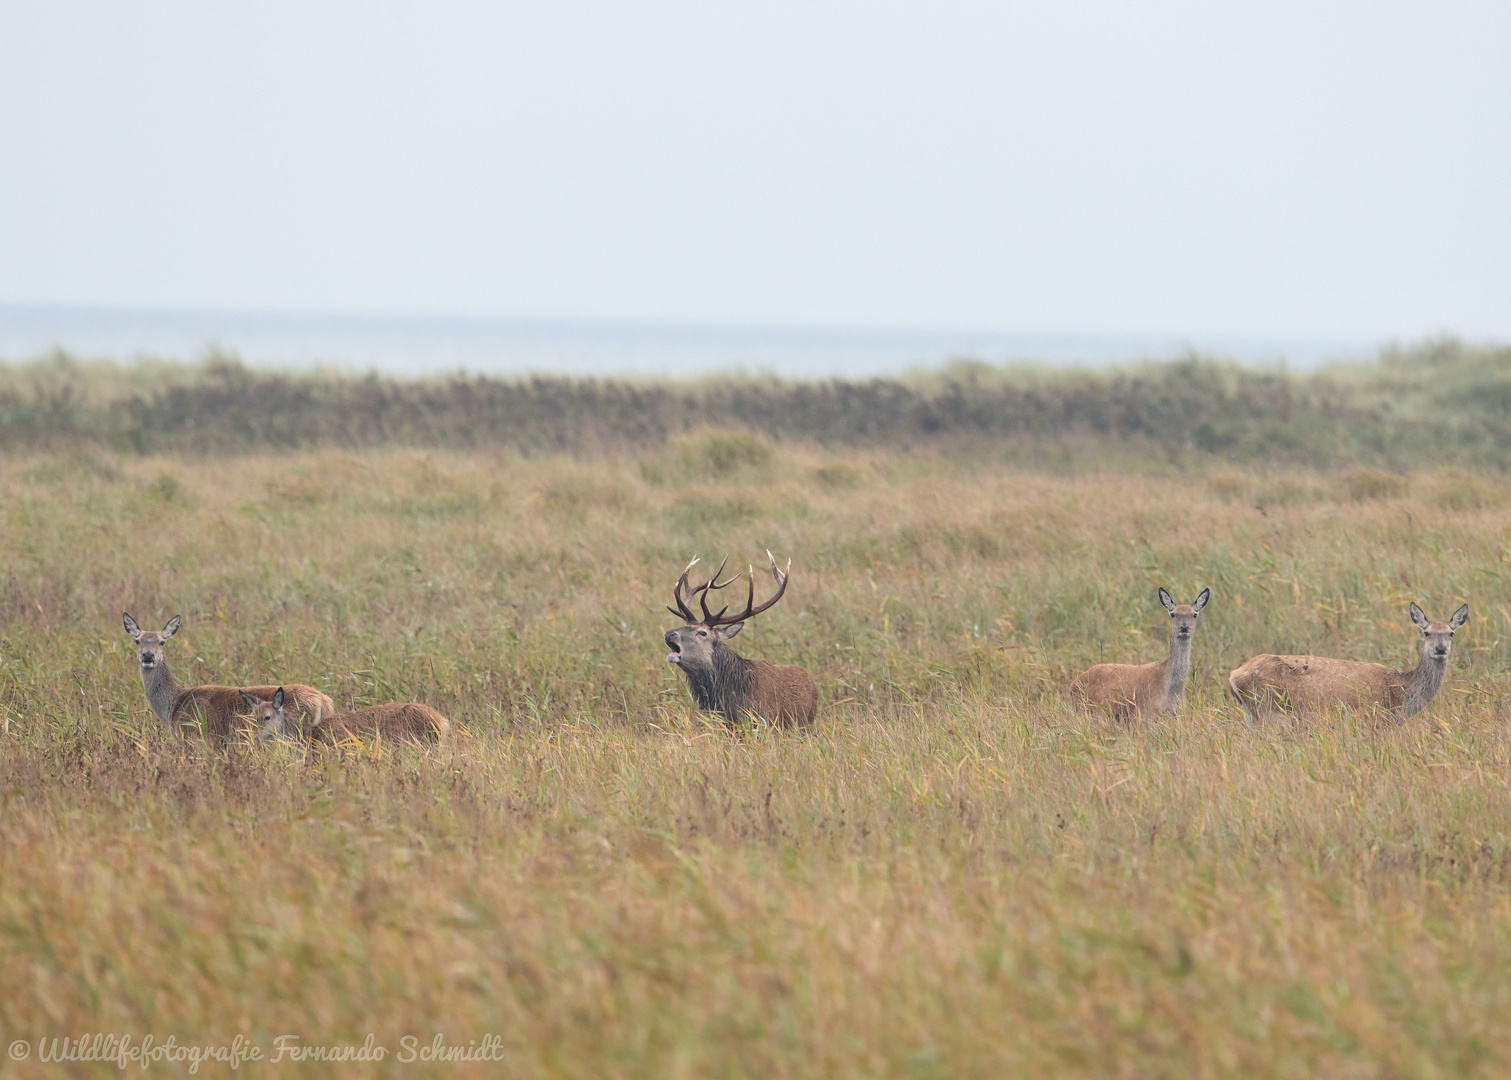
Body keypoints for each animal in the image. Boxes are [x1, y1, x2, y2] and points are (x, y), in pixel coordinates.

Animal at [125, 616, 335, 743]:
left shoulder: (193, 739)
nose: (148, 656)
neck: (173, 705)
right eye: (137, 640)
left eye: (162, 641)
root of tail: (323, 701)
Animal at [1069, 586, 1208, 722]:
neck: (1171, 691)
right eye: (1172, 614)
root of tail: (1073, 685)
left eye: (1195, 614)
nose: (1184, 627)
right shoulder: (1143, 713)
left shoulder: (1178, 714)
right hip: (1087, 709)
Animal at [1226, 604, 1462, 722]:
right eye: (1426, 632)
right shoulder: (1374, 718)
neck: (1402, 696)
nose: (1440, 649)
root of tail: (1233, 676)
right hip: (1269, 710)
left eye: (1451, 633)